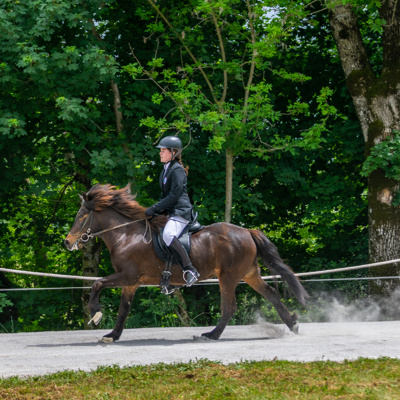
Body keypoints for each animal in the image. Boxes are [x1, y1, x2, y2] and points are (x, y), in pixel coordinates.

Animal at [65, 183, 310, 342]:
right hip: (249, 274)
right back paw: (293, 323)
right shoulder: (131, 282)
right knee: (271, 294)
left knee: (230, 306)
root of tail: (248, 232)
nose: (67, 242)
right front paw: (113, 335)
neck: (126, 235)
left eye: (81, 216)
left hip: (228, 276)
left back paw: (212, 335)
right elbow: (124, 309)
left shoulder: (128, 276)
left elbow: (98, 283)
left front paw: (95, 313)